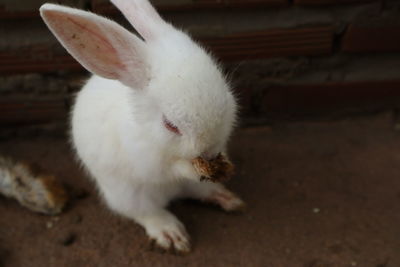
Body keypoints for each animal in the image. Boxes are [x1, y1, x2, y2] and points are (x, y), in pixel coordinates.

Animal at [42, 0, 245, 254]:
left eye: (226, 94)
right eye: (170, 125)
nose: (209, 152)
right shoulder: (146, 159)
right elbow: (170, 169)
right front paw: (194, 169)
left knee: (198, 192)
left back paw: (228, 199)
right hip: (128, 196)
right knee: (146, 213)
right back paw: (171, 234)